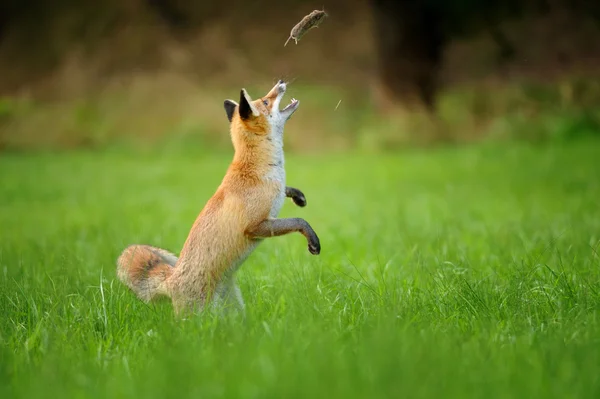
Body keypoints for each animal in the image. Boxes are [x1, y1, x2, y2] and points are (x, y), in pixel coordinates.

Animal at [118, 81, 324, 318]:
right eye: (265, 101)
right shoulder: (256, 225)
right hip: (202, 315)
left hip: (234, 309)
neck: (259, 169)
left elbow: (286, 191)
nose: (281, 83)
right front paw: (312, 239)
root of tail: (171, 279)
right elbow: (299, 221)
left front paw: (297, 196)